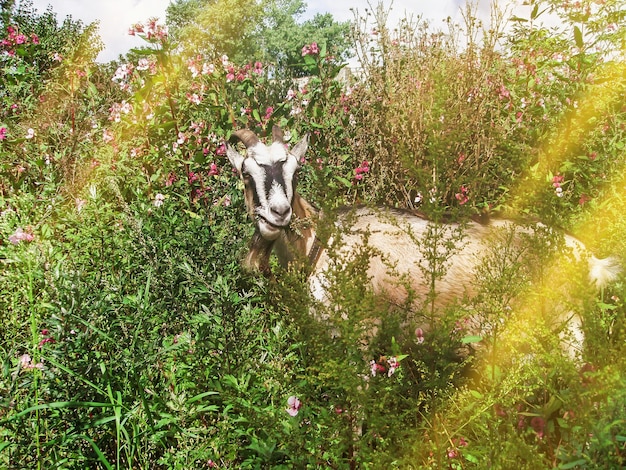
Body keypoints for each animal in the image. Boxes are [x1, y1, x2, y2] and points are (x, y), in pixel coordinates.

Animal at [225, 126, 620, 354]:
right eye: (245, 173)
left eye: (296, 171)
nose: (279, 213)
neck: (321, 245)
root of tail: (586, 256)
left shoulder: (364, 330)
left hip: (567, 330)